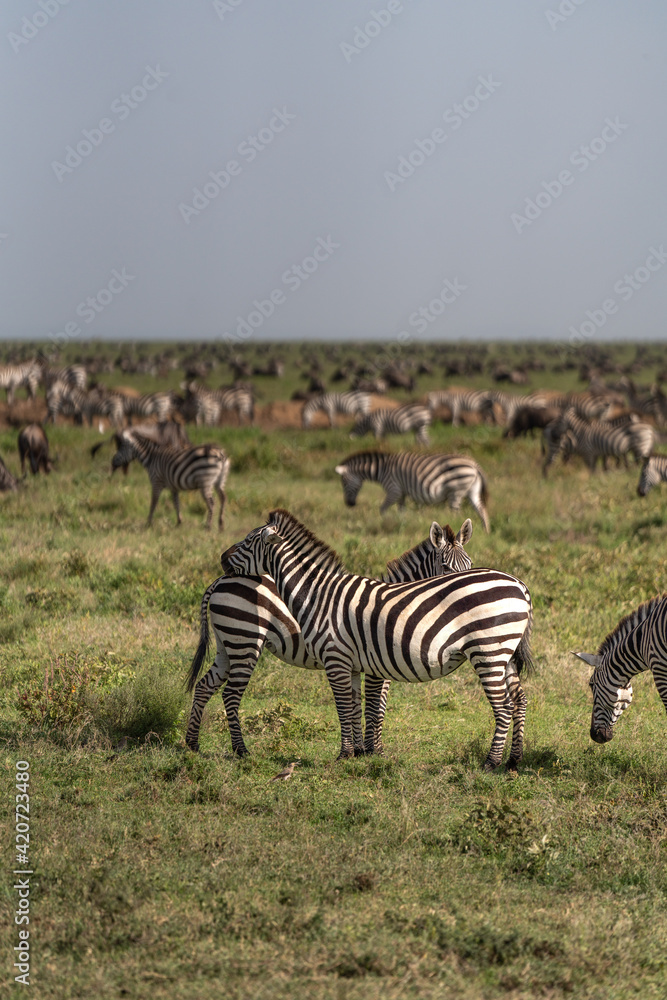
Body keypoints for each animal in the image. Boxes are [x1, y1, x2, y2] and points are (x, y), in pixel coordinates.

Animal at [186, 519, 475, 756]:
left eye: (469, 565)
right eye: (445, 567)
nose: (464, 594)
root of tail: (221, 579)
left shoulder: (361, 662)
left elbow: (360, 704)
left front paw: (361, 749)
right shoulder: (375, 665)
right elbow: (374, 706)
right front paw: (373, 750)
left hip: (227, 645)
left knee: (204, 687)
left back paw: (192, 745)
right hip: (245, 640)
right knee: (230, 694)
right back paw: (241, 750)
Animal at [220, 509, 534, 770]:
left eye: (248, 541)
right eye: (444, 566)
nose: (222, 558)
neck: (319, 595)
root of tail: (520, 585)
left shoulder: (339, 658)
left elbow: (354, 706)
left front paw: (352, 754)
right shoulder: (358, 663)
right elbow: (357, 705)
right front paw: (360, 752)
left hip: (489, 651)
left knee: (504, 706)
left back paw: (491, 763)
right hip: (504, 653)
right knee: (518, 700)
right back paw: (513, 760)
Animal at [335, 450, 490, 532]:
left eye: (343, 482)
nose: (350, 504)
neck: (381, 470)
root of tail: (473, 464)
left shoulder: (394, 489)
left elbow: (382, 508)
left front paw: (384, 523)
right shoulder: (402, 493)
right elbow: (401, 510)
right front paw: (401, 524)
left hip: (456, 491)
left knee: (456, 513)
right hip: (472, 491)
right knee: (482, 511)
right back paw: (485, 532)